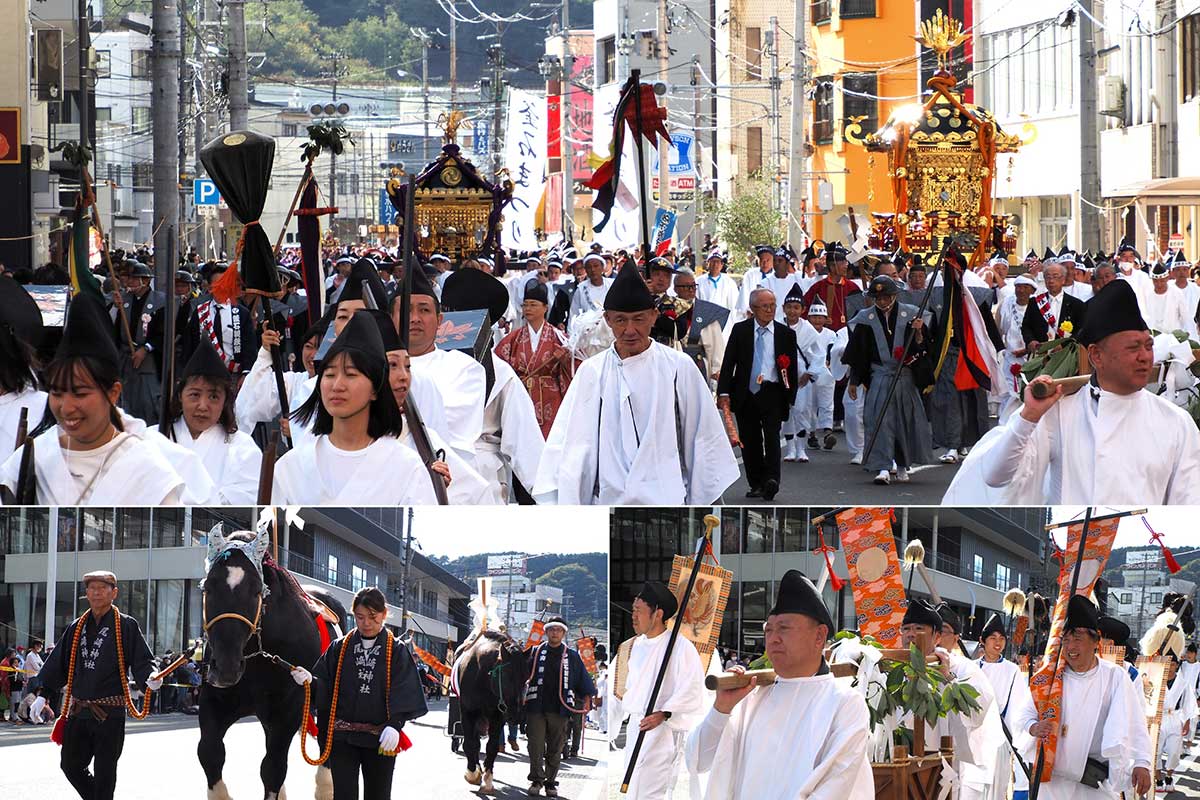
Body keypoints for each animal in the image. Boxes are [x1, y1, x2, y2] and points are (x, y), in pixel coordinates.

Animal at [199, 527, 345, 796]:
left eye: (257, 589)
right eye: (208, 588)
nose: (226, 668)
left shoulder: (287, 710)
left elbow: (273, 769)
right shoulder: (216, 701)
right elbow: (210, 753)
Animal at [451, 633, 528, 796]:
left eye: (525, 678)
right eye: (506, 676)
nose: (517, 716)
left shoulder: (497, 716)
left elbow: (491, 747)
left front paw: (487, 780)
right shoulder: (468, 712)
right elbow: (470, 743)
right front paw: (472, 774)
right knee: (473, 742)